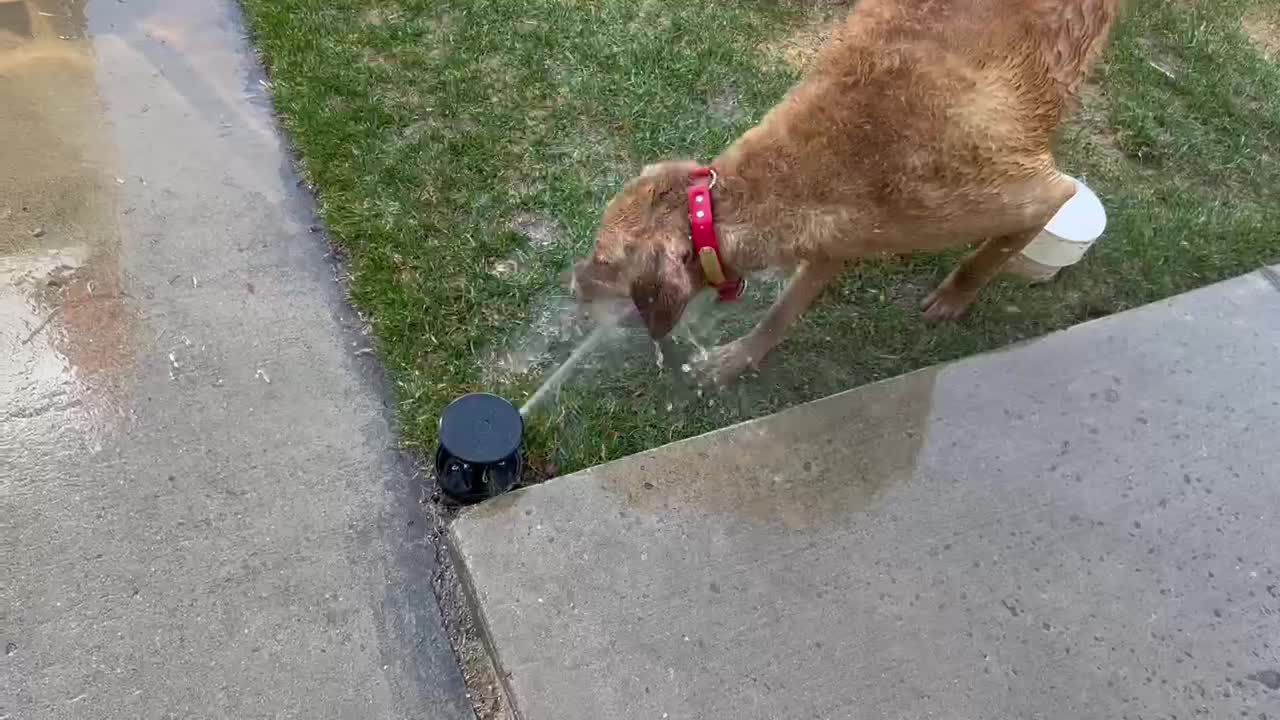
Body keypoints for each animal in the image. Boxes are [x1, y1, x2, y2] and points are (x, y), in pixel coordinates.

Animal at [570, 0, 1121, 381]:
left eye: (603, 260)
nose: (569, 283)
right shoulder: (840, 235)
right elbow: (783, 310)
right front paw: (738, 358)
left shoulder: (1038, 192)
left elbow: (991, 252)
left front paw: (953, 298)